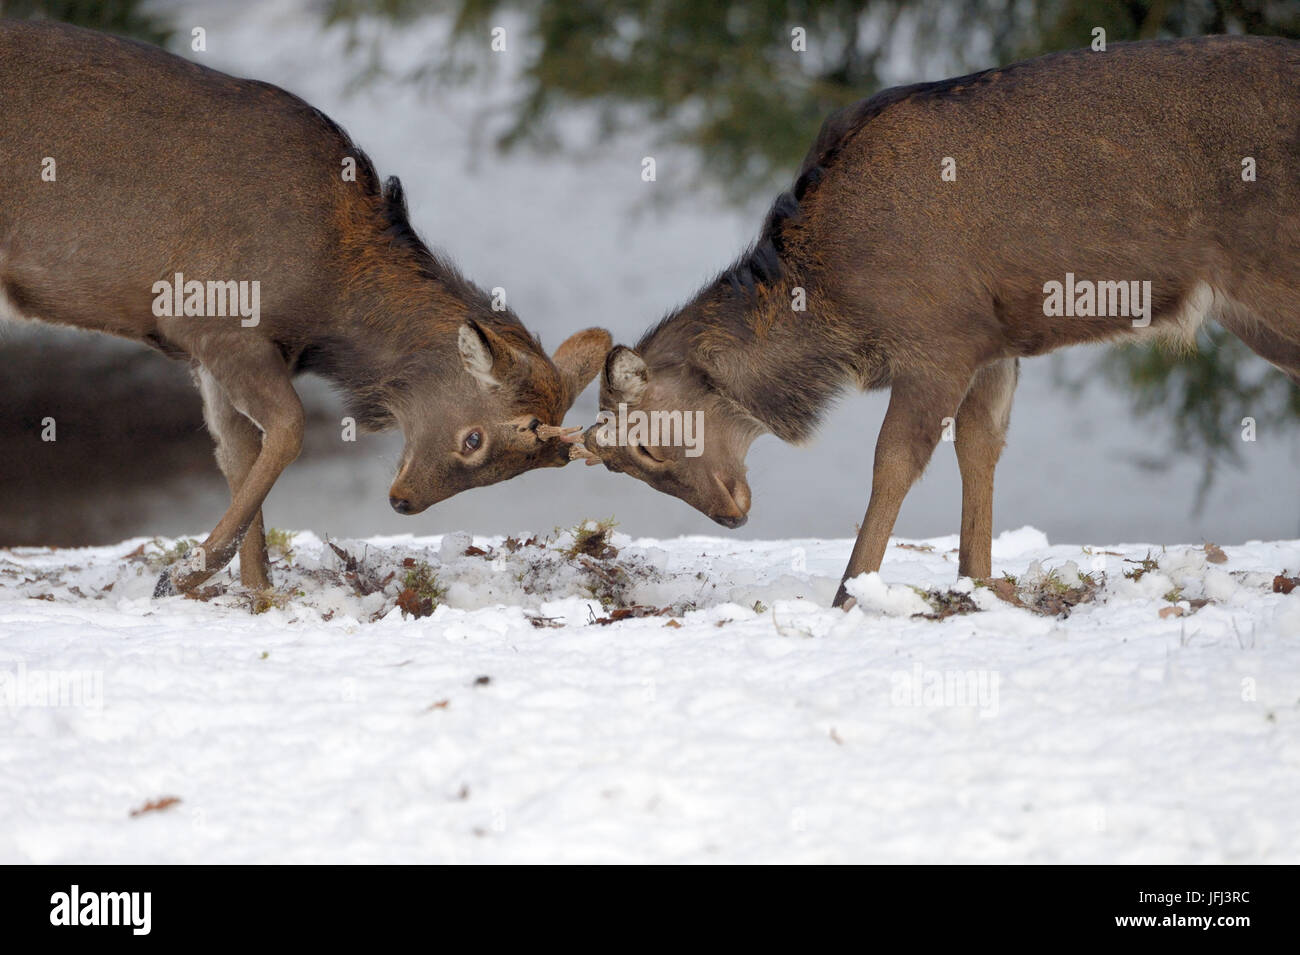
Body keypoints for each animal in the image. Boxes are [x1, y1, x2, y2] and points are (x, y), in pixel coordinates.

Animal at [1, 18, 608, 595]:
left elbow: (239, 455)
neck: (326, 306)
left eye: (524, 467)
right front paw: (181, 575)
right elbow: (288, 430)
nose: (404, 502)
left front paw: (257, 592)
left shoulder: (206, 351)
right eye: (474, 438)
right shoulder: (217, 319)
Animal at [574, 35, 1300, 605]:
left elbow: (893, 462)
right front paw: (979, 581)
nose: (729, 516)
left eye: (643, 447)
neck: (835, 298)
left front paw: (850, 593)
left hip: (1271, 278)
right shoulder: (993, 341)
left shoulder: (940, 337)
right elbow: (980, 446)